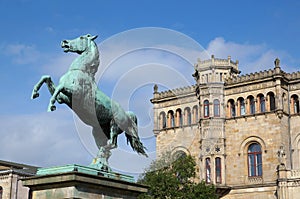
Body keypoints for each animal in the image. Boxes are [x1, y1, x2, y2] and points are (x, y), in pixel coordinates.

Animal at [31, 33, 148, 169]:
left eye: (82, 37)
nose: (64, 42)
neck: (80, 70)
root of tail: (127, 114)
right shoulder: (64, 98)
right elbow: (47, 78)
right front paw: (35, 93)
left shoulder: (75, 93)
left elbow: (60, 87)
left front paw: (51, 106)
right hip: (98, 132)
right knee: (107, 148)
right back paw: (98, 164)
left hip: (114, 125)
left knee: (112, 144)